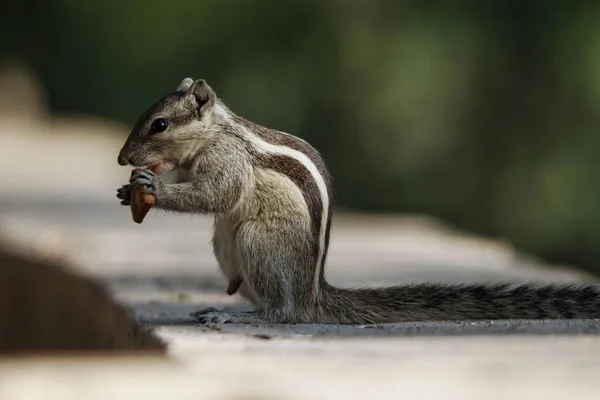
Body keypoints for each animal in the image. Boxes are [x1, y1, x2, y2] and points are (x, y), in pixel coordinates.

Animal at [116, 78, 600, 324]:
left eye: (159, 124)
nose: (123, 158)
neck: (216, 131)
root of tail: (314, 295)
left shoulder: (227, 160)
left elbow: (214, 194)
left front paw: (154, 187)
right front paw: (130, 188)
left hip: (257, 241)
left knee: (282, 314)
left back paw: (238, 317)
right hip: (226, 249)